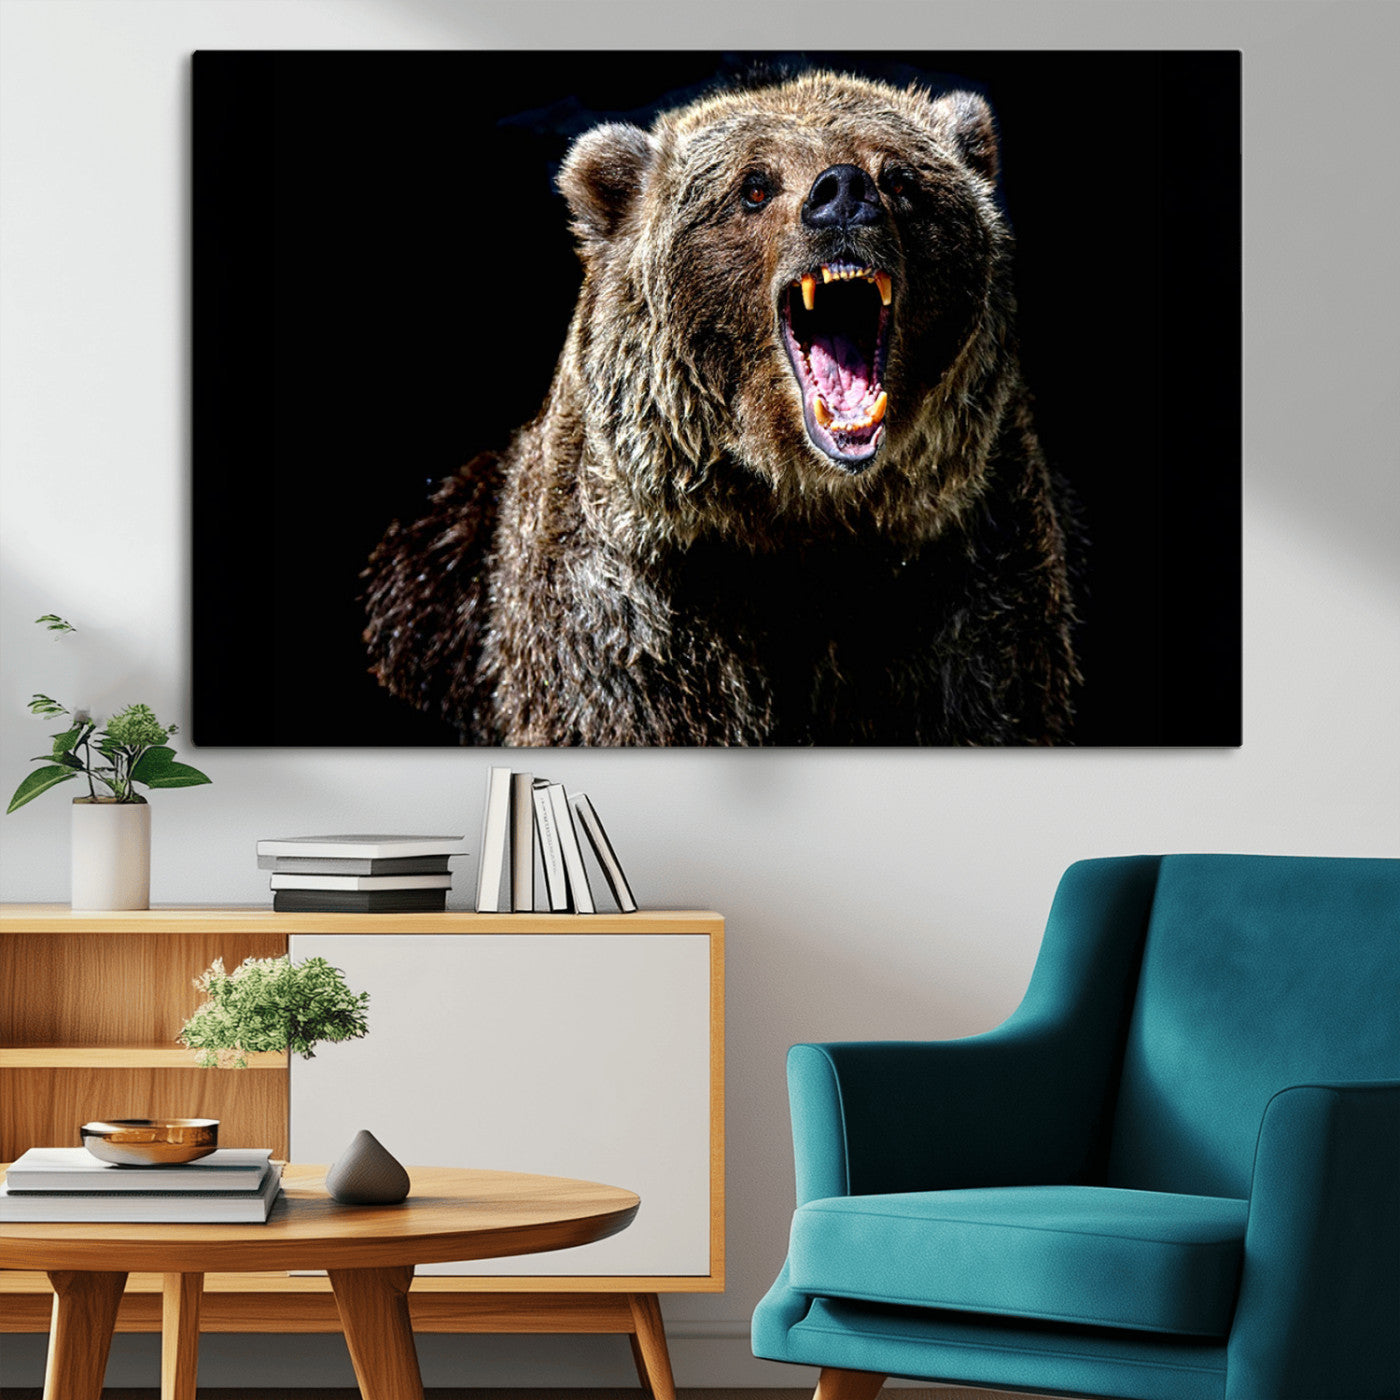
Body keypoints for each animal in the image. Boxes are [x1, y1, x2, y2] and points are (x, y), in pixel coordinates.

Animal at [362, 70, 1081, 745]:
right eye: (754, 187)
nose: (843, 193)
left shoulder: (961, 590)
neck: (802, 520)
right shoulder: (634, 617)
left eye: (900, 178)